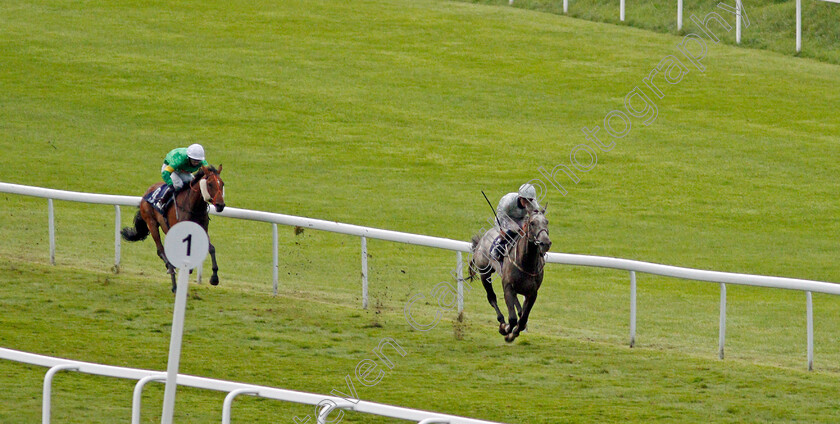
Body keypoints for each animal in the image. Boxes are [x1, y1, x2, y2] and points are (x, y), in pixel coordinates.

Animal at [466, 207, 552, 342]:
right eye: (532, 223)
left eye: (546, 222)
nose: (545, 242)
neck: (526, 263)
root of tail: (482, 238)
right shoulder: (507, 286)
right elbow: (512, 319)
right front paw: (506, 330)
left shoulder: (532, 293)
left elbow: (523, 319)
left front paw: (515, 332)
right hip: (485, 273)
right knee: (491, 298)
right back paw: (501, 321)